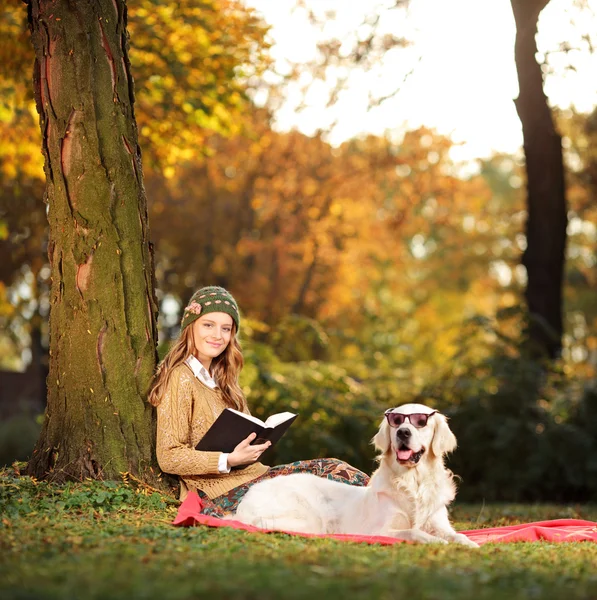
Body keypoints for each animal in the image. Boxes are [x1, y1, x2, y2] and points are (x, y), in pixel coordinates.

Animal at [230, 406, 478, 548]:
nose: (403, 433)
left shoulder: (439, 522)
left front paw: (469, 544)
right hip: (309, 517)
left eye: (420, 421)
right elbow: (413, 531)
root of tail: (248, 497)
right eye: (396, 421)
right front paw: (438, 542)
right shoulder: (380, 531)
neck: (412, 482)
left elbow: (458, 536)